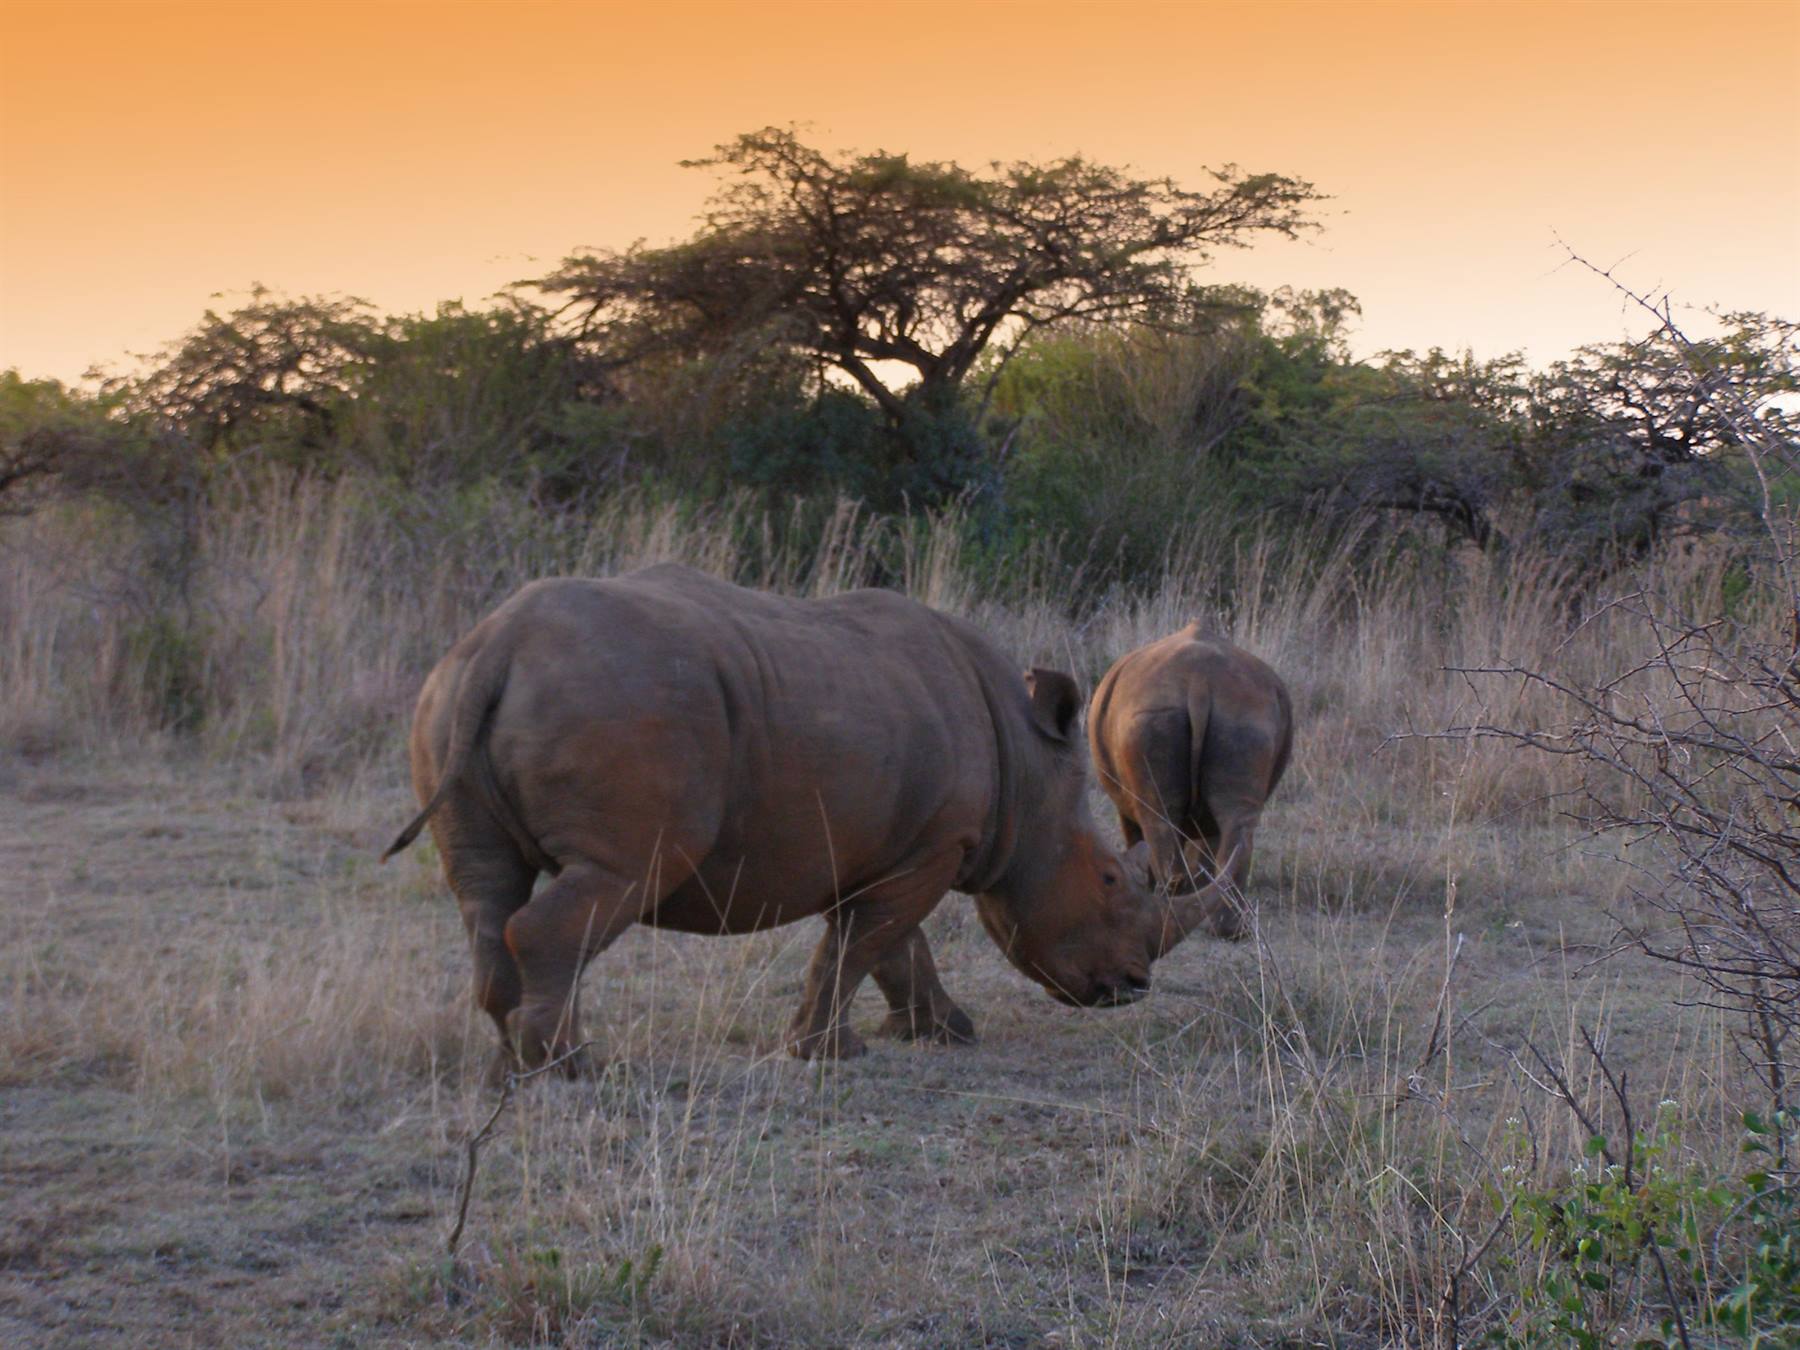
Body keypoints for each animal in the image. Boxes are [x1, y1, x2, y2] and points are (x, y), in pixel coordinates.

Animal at [384, 565, 1233, 1071]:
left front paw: (940, 1032)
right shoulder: (934, 845)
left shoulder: (888, 842)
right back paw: (572, 1066)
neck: (1027, 768)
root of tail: (498, 646)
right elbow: (863, 946)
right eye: (1111, 879)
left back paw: (510, 1061)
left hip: (447, 697)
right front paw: (831, 1053)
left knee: (484, 888)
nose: (1133, 987)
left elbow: (887, 947)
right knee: (612, 879)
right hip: (619, 704)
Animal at [1087, 623, 1294, 939]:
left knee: (1157, 817)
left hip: (1150, 716)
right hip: (1246, 717)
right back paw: (1230, 930)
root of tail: (1199, 682)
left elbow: (1137, 836)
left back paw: (1167, 907)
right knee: (1236, 824)